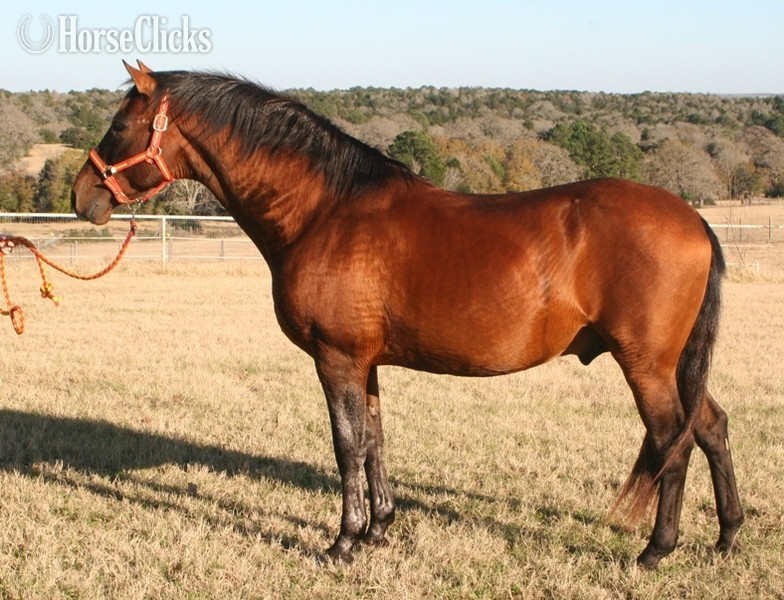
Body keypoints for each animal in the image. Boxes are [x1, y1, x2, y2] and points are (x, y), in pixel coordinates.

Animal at [71, 61, 743, 568]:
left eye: (120, 124)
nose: (82, 196)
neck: (327, 209)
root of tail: (693, 219)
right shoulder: (363, 362)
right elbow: (373, 439)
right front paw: (379, 529)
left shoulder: (336, 358)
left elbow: (346, 444)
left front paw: (342, 543)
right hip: (673, 364)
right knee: (710, 426)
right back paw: (727, 536)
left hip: (646, 364)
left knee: (673, 438)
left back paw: (656, 550)